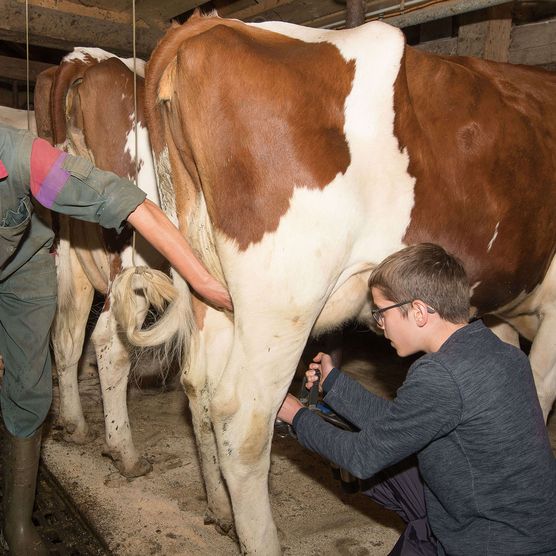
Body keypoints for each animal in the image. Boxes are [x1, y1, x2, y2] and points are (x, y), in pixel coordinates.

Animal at [33, 46, 165, 478]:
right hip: (136, 250)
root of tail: (87, 59)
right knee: (109, 340)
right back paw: (125, 452)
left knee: (66, 333)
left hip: (69, 249)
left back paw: (74, 425)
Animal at [124, 13, 552, 556]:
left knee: (197, 385)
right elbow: (538, 392)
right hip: (285, 297)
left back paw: (220, 512)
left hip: (207, 282)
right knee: (243, 420)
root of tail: (210, 23)